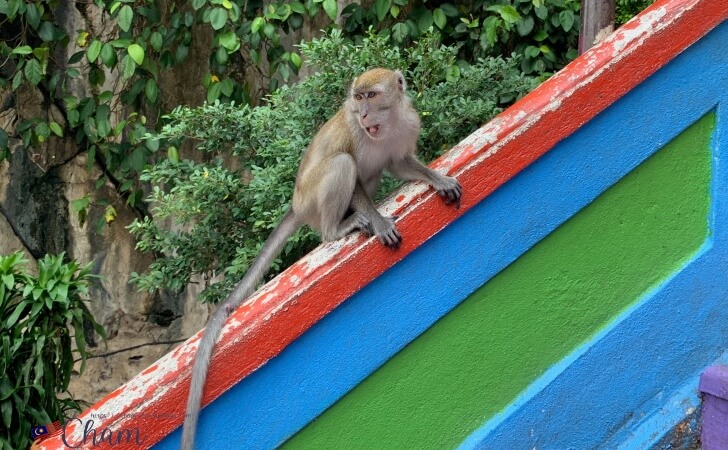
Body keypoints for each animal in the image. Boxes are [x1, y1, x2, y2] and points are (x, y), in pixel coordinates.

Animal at [180, 68, 462, 450]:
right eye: (358, 99)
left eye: (372, 96)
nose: (363, 114)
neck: (386, 123)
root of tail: (296, 204)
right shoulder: (354, 135)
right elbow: (352, 171)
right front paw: (377, 220)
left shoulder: (407, 124)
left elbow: (400, 164)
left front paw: (437, 178)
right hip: (313, 199)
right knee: (342, 165)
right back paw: (338, 228)